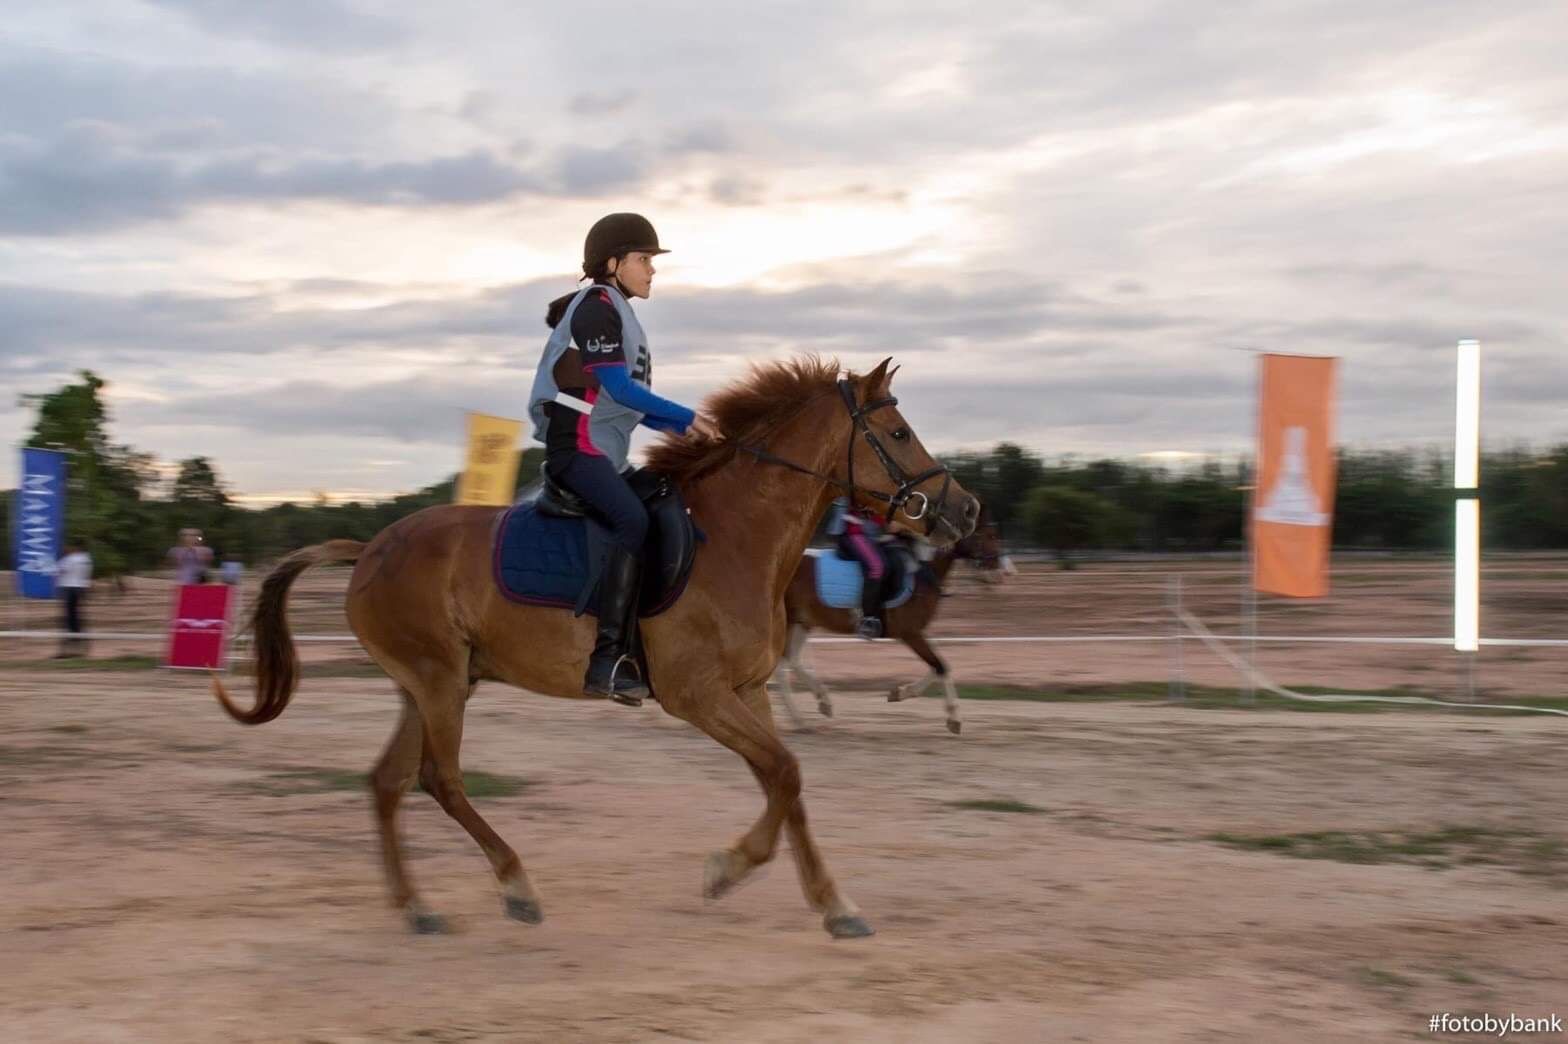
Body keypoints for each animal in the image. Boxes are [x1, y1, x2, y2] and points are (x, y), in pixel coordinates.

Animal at [211, 356, 979, 939]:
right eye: (899, 432)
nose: (965, 509)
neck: (737, 535)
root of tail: (369, 548)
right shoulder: (697, 696)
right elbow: (785, 774)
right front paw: (727, 869)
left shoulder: (748, 692)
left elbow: (784, 783)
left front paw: (832, 904)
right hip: (438, 683)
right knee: (440, 779)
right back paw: (516, 886)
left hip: (431, 684)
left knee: (387, 782)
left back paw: (417, 908)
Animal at [771, 507, 1006, 734]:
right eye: (990, 535)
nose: (999, 571)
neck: (923, 568)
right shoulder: (910, 633)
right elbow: (939, 666)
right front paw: (954, 719)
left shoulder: (917, 631)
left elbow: (939, 665)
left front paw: (900, 693)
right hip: (790, 622)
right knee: (781, 667)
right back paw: (802, 718)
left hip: (802, 622)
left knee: (790, 661)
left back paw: (818, 706)